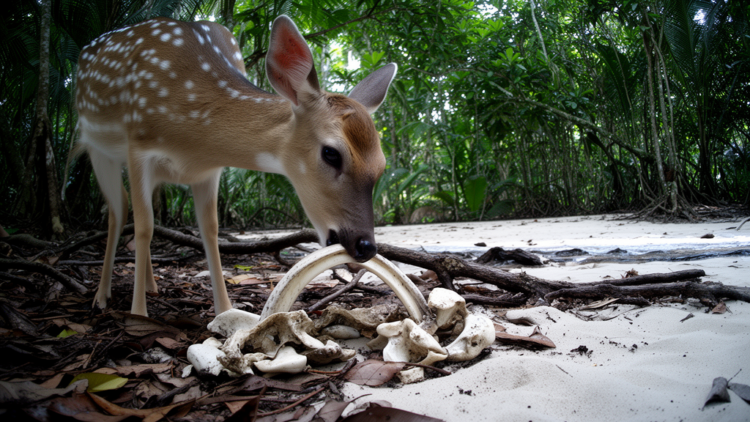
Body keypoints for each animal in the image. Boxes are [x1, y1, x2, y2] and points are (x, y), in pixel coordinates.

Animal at [75, 15, 397, 317]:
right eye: (331, 153)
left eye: (382, 165)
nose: (366, 246)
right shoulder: (139, 146)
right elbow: (144, 227)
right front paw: (138, 314)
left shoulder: (209, 171)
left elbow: (210, 229)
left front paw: (225, 310)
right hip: (96, 147)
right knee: (118, 210)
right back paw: (101, 296)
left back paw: (151, 285)